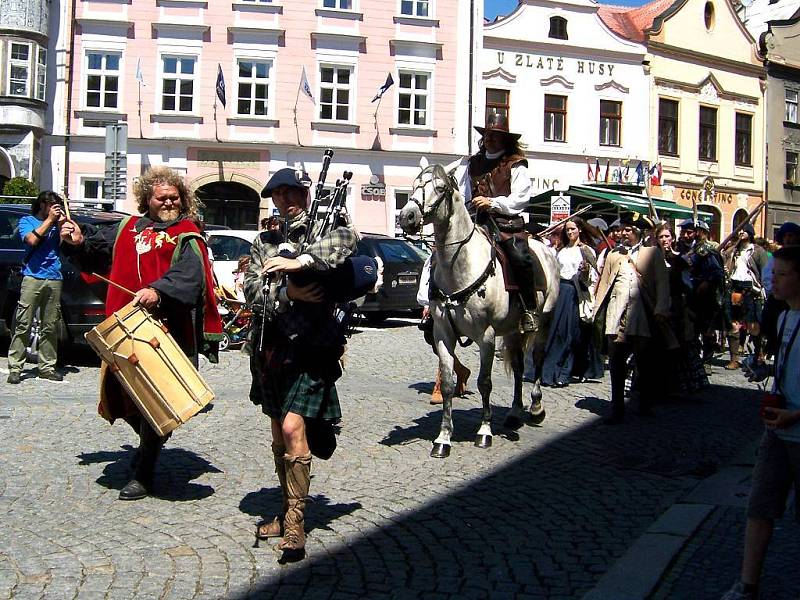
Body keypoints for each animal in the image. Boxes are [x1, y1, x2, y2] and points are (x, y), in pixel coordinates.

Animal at [398, 162, 556, 458]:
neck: (460, 265)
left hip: (544, 321)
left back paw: (536, 408)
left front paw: (484, 432)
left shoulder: (486, 336)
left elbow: (485, 382)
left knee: (538, 358)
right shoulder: (443, 334)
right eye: (413, 185)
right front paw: (443, 438)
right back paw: (515, 413)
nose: (407, 217)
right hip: (513, 331)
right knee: (519, 366)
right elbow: (449, 383)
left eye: (440, 188)